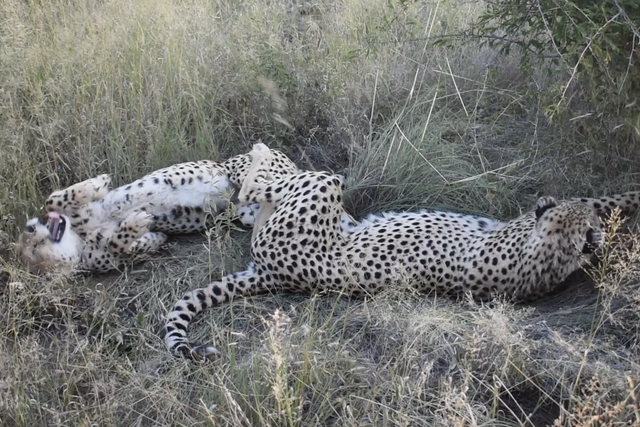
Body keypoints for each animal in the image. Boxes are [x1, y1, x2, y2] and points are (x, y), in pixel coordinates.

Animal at [163, 142, 640, 360]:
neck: (544, 260)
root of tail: (272, 275)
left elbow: (594, 202)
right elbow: (601, 200)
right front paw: (625, 200)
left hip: (319, 187)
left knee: (261, 187)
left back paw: (256, 161)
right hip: (321, 198)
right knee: (251, 197)